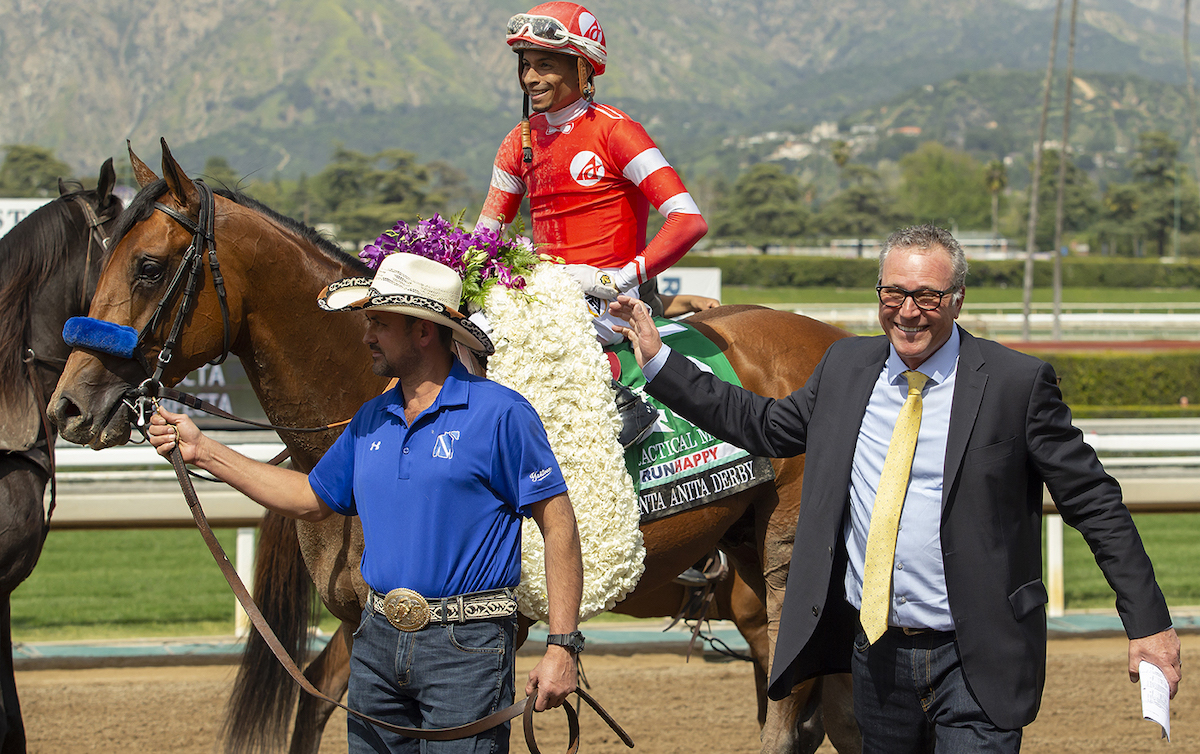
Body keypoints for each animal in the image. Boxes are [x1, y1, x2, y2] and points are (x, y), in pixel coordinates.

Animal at [44, 142, 854, 754]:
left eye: (149, 266)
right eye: (99, 260)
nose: (69, 405)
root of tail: (835, 343)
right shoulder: (362, 622)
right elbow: (324, 706)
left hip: (783, 561)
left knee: (795, 712)